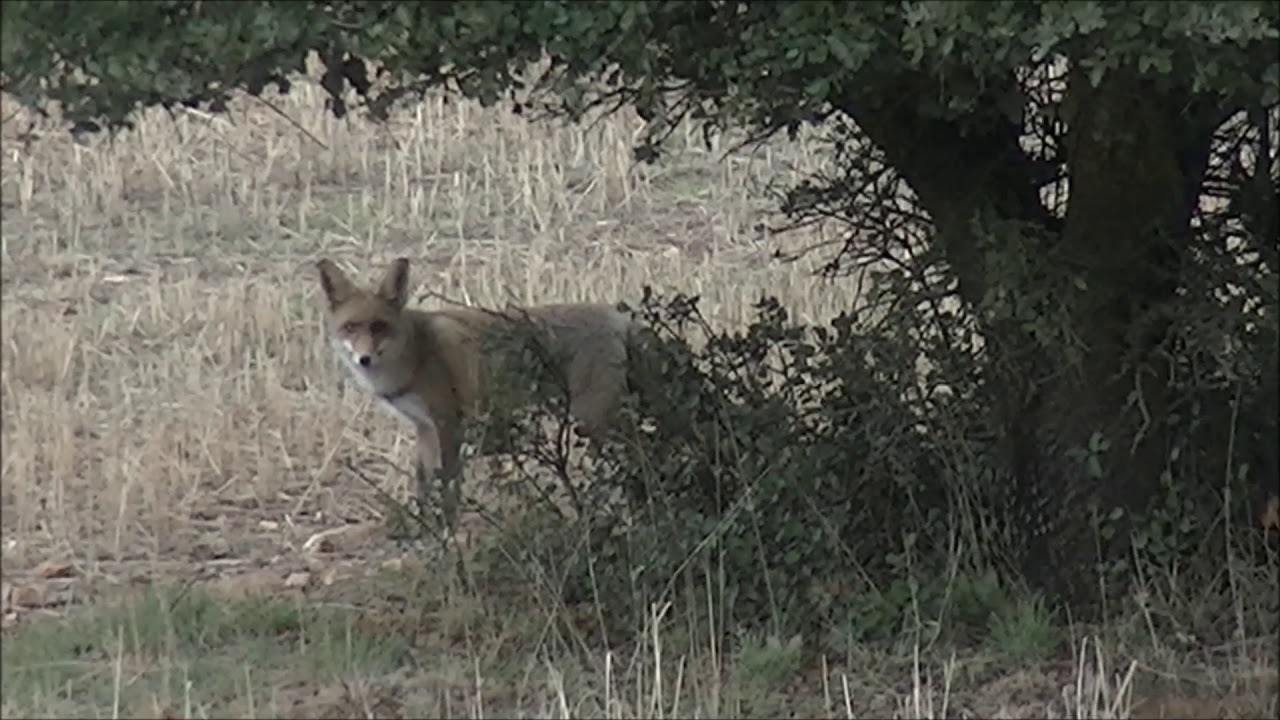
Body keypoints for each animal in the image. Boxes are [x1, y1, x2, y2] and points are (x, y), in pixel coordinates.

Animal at [315, 256, 633, 515]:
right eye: (350, 328)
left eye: (379, 326)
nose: (364, 359)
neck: (416, 354)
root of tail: (617, 316)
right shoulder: (424, 426)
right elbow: (423, 483)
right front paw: (423, 529)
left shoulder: (448, 422)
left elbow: (448, 486)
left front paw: (449, 533)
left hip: (592, 422)